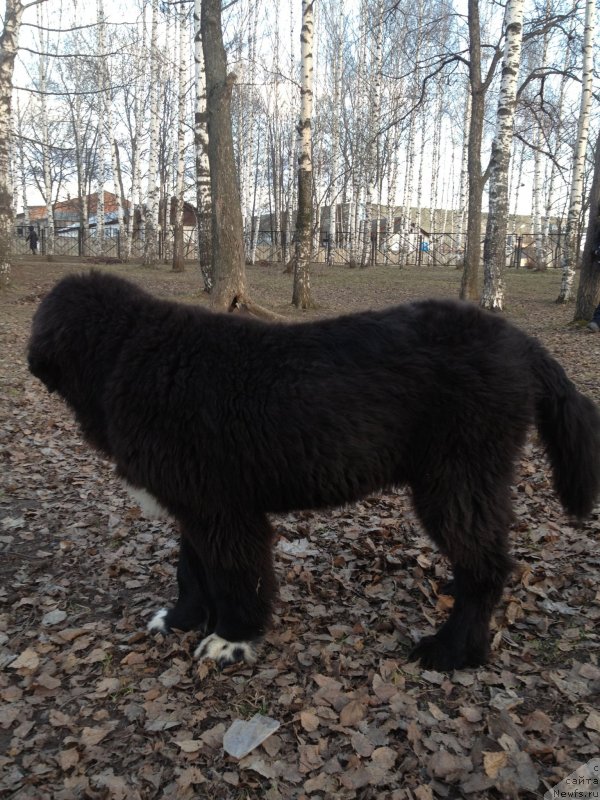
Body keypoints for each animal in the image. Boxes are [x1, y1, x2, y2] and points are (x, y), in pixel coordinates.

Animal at [28, 272, 600, 672]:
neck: (128, 352)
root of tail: (521, 343)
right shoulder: (194, 501)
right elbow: (190, 569)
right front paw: (180, 619)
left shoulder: (224, 512)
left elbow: (232, 576)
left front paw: (230, 639)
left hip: (456, 480)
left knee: (484, 568)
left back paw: (452, 652)